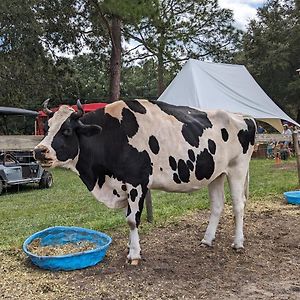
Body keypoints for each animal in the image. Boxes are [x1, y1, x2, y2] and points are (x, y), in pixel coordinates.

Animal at [34, 99, 255, 264]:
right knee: (217, 205)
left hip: (238, 168)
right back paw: (207, 240)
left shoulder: (136, 182)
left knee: (238, 205)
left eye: (67, 130)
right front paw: (131, 247)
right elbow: (127, 217)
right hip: (216, 174)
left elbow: (132, 220)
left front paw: (134, 254)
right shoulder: (123, 185)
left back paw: (238, 243)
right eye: (47, 128)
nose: (39, 151)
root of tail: (244, 116)